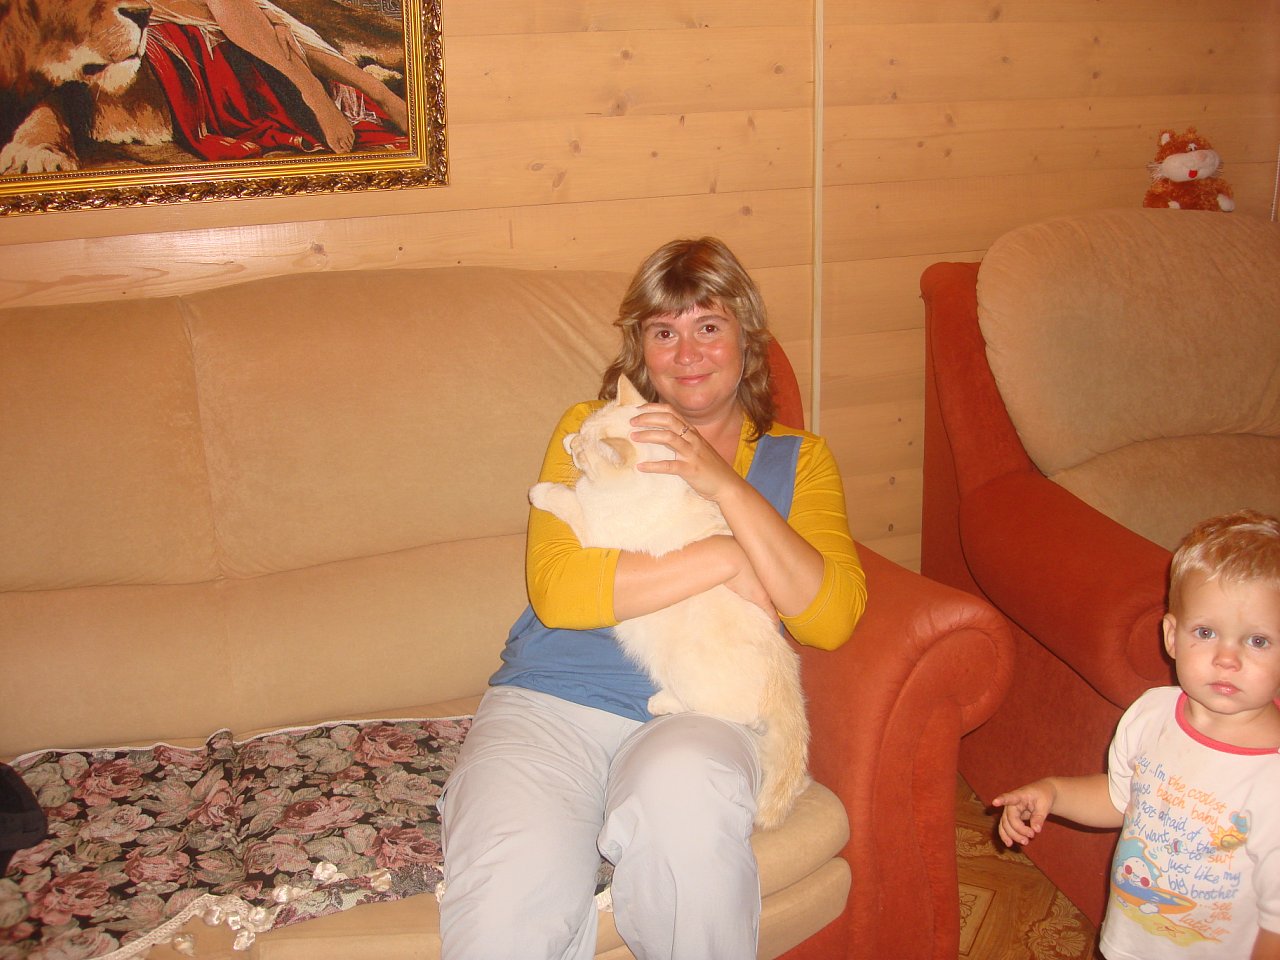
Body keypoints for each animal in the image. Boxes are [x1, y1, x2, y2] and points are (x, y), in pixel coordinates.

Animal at [528, 375, 810, 829]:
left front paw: (544, 491)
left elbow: (569, 500)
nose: (570, 441)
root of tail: (785, 670)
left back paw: (660, 702)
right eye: (580, 433)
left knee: (729, 712)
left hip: (685, 669)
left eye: (584, 447)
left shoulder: (595, 535)